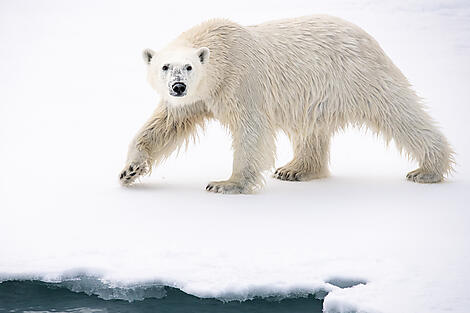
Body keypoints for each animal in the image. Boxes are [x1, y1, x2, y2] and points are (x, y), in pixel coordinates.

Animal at [119, 17, 454, 194]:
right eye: (165, 66)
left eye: (188, 67)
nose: (178, 87)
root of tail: (367, 37)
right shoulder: (197, 98)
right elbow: (164, 125)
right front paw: (130, 171)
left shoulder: (241, 81)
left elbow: (251, 131)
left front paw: (226, 184)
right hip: (316, 93)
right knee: (311, 130)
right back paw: (295, 169)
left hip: (359, 76)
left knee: (399, 112)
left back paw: (427, 169)